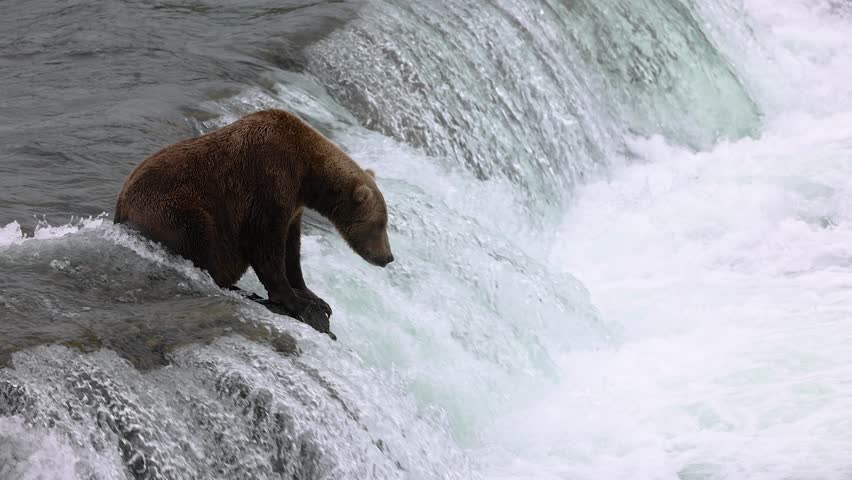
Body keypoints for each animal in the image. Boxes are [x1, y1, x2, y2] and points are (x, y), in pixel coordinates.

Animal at [114, 109, 394, 337]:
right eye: (380, 225)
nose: (388, 257)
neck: (307, 175)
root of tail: (119, 210)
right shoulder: (269, 182)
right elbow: (266, 244)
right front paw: (298, 302)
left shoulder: (293, 206)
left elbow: (292, 249)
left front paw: (315, 297)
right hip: (175, 210)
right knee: (201, 236)